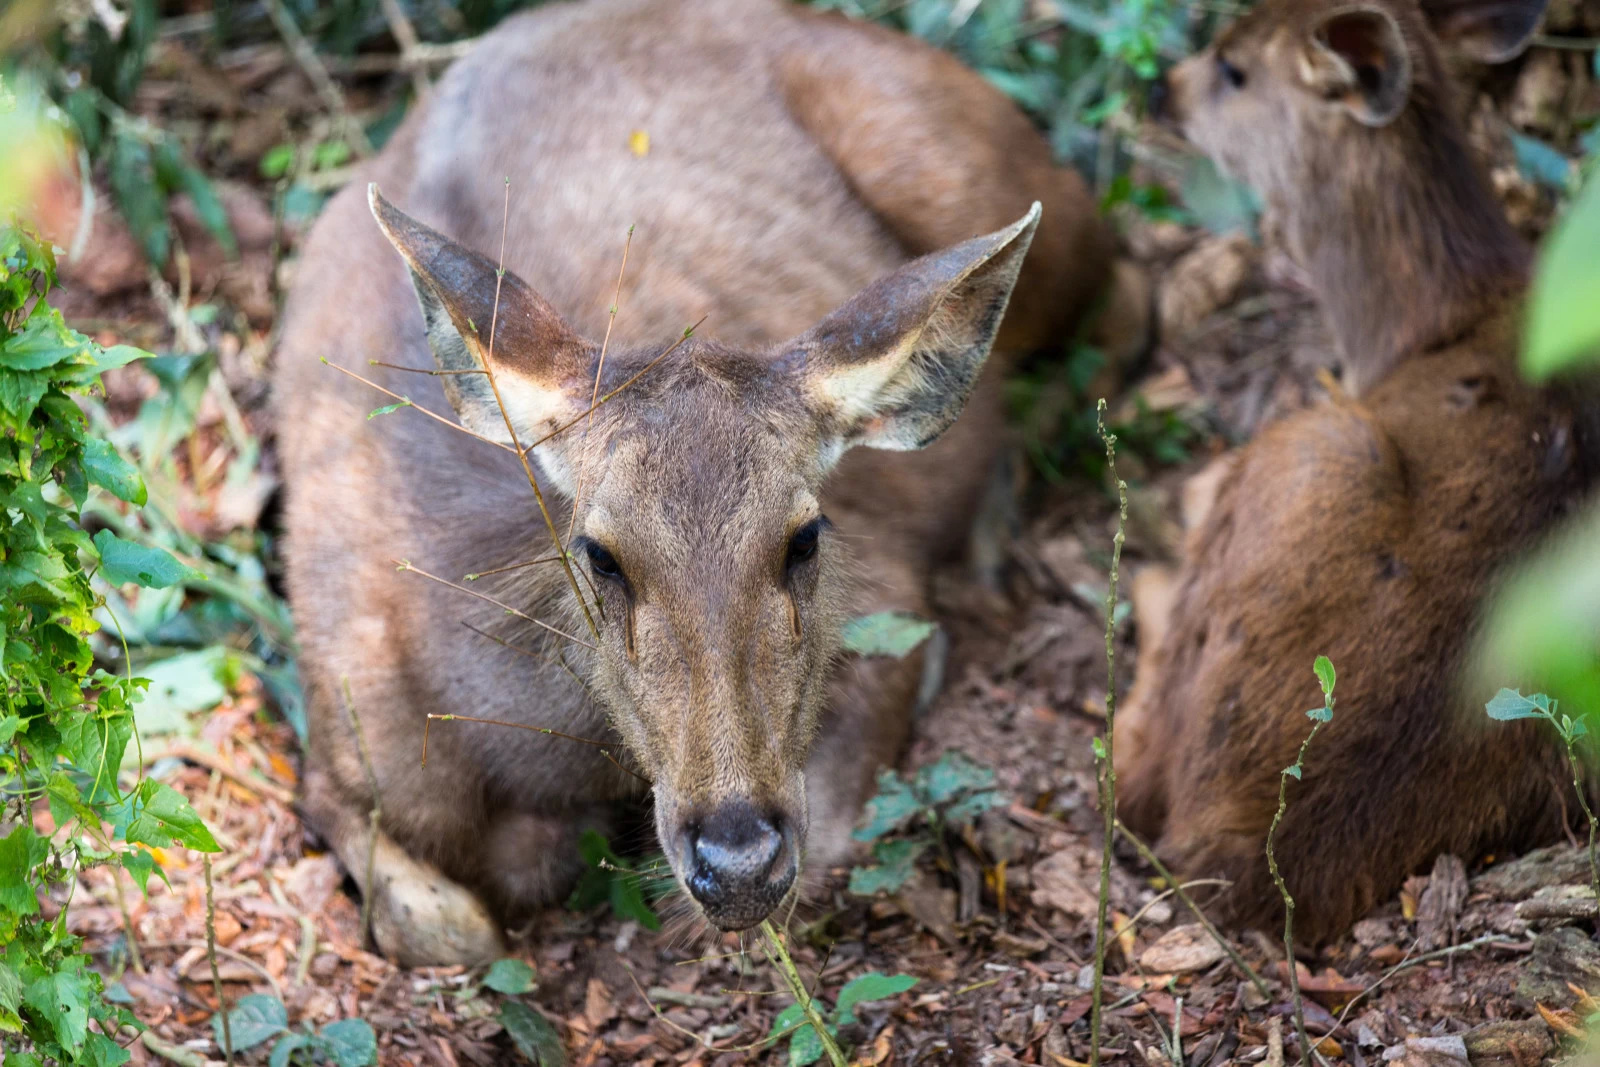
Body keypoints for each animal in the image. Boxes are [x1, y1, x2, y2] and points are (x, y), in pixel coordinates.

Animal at [272, 0, 1113, 966]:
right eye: (601, 553)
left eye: (804, 538)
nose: (737, 856)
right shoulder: (338, 741)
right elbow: (446, 926)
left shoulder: (883, 599)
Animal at [1113, 0, 1600, 940]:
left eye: (1233, 68)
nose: (1157, 86)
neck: (1424, 325)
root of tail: (1249, 854)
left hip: (1303, 447)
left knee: (1135, 773)